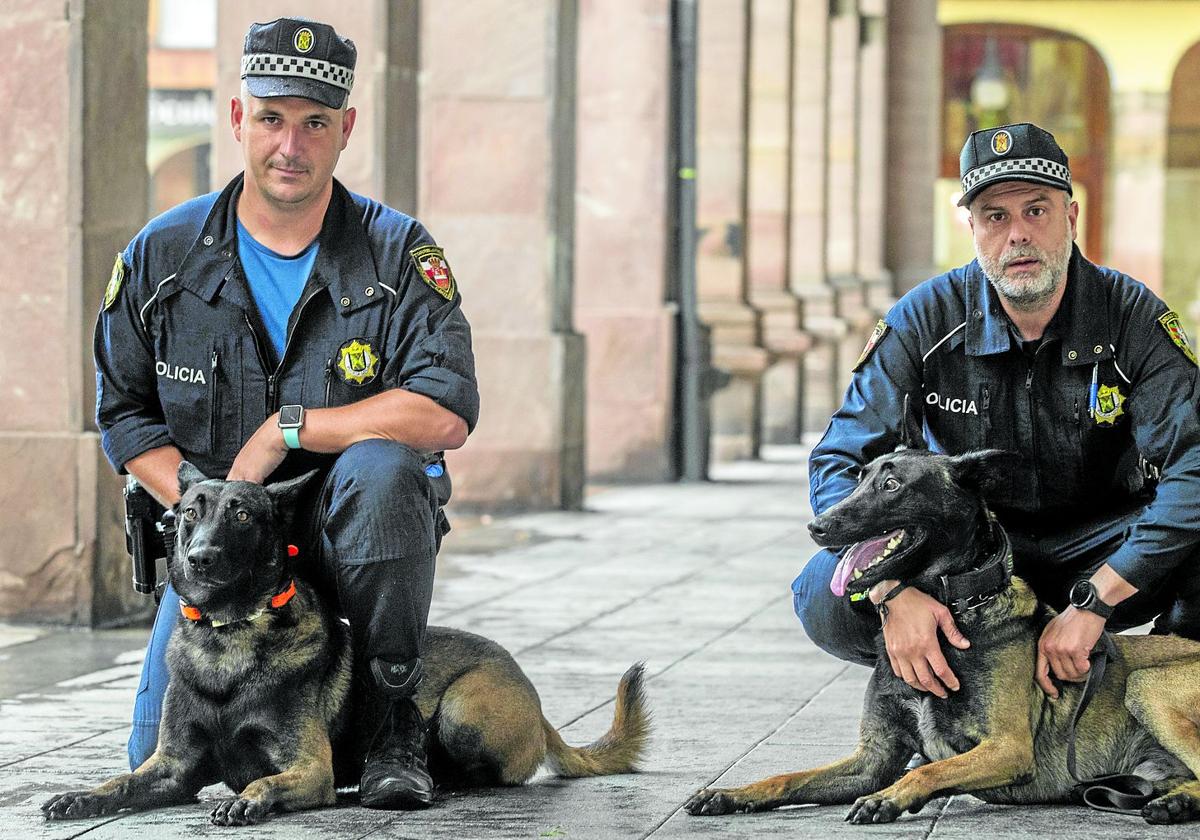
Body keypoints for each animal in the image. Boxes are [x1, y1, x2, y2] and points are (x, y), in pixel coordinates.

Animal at [42, 463, 652, 825]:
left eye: (242, 514)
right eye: (190, 512)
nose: (200, 558)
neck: (230, 637)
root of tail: (533, 693)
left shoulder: (311, 770)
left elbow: (266, 779)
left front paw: (246, 798)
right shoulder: (169, 767)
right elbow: (121, 782)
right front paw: (81, 796)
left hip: (463, 713)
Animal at [691, 448, 1200, 825]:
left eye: (892, 485)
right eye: (858, 478)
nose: (817, 526)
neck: (958, 610)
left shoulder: (1007, 748)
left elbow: (930, 770)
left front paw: (889, 798)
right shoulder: (874, 758)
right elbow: (785, 778)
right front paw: (731, 793)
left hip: (1144, 684)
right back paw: (1174, 800)